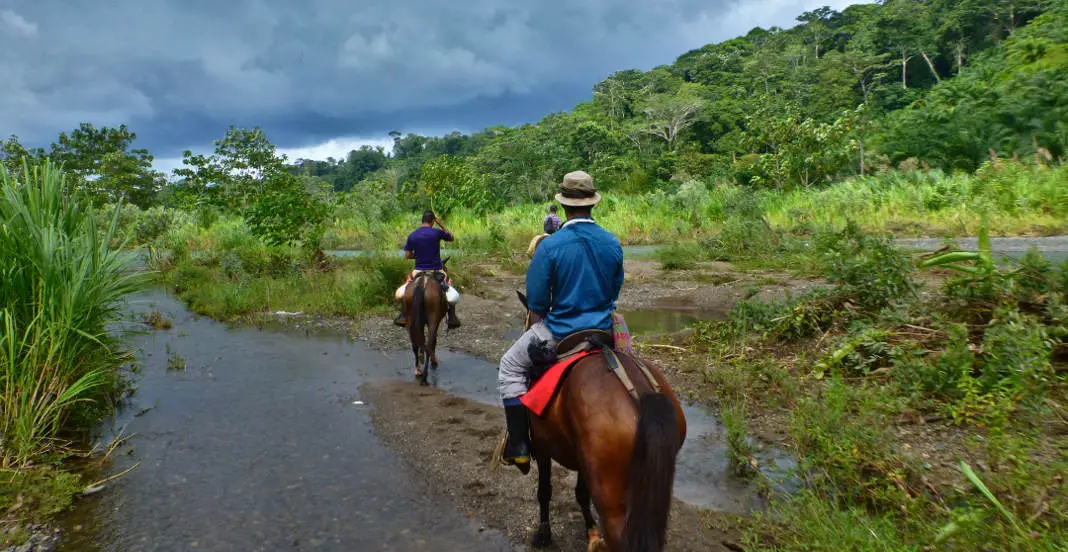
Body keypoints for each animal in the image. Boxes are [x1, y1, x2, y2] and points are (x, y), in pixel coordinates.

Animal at [519, 290, 692, 546]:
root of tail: (641, 394)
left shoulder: (542, 446)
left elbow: (544, 490)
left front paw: (544, 533)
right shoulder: (582, 459)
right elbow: (581, 493)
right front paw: (590, 531)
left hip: (610, 494)